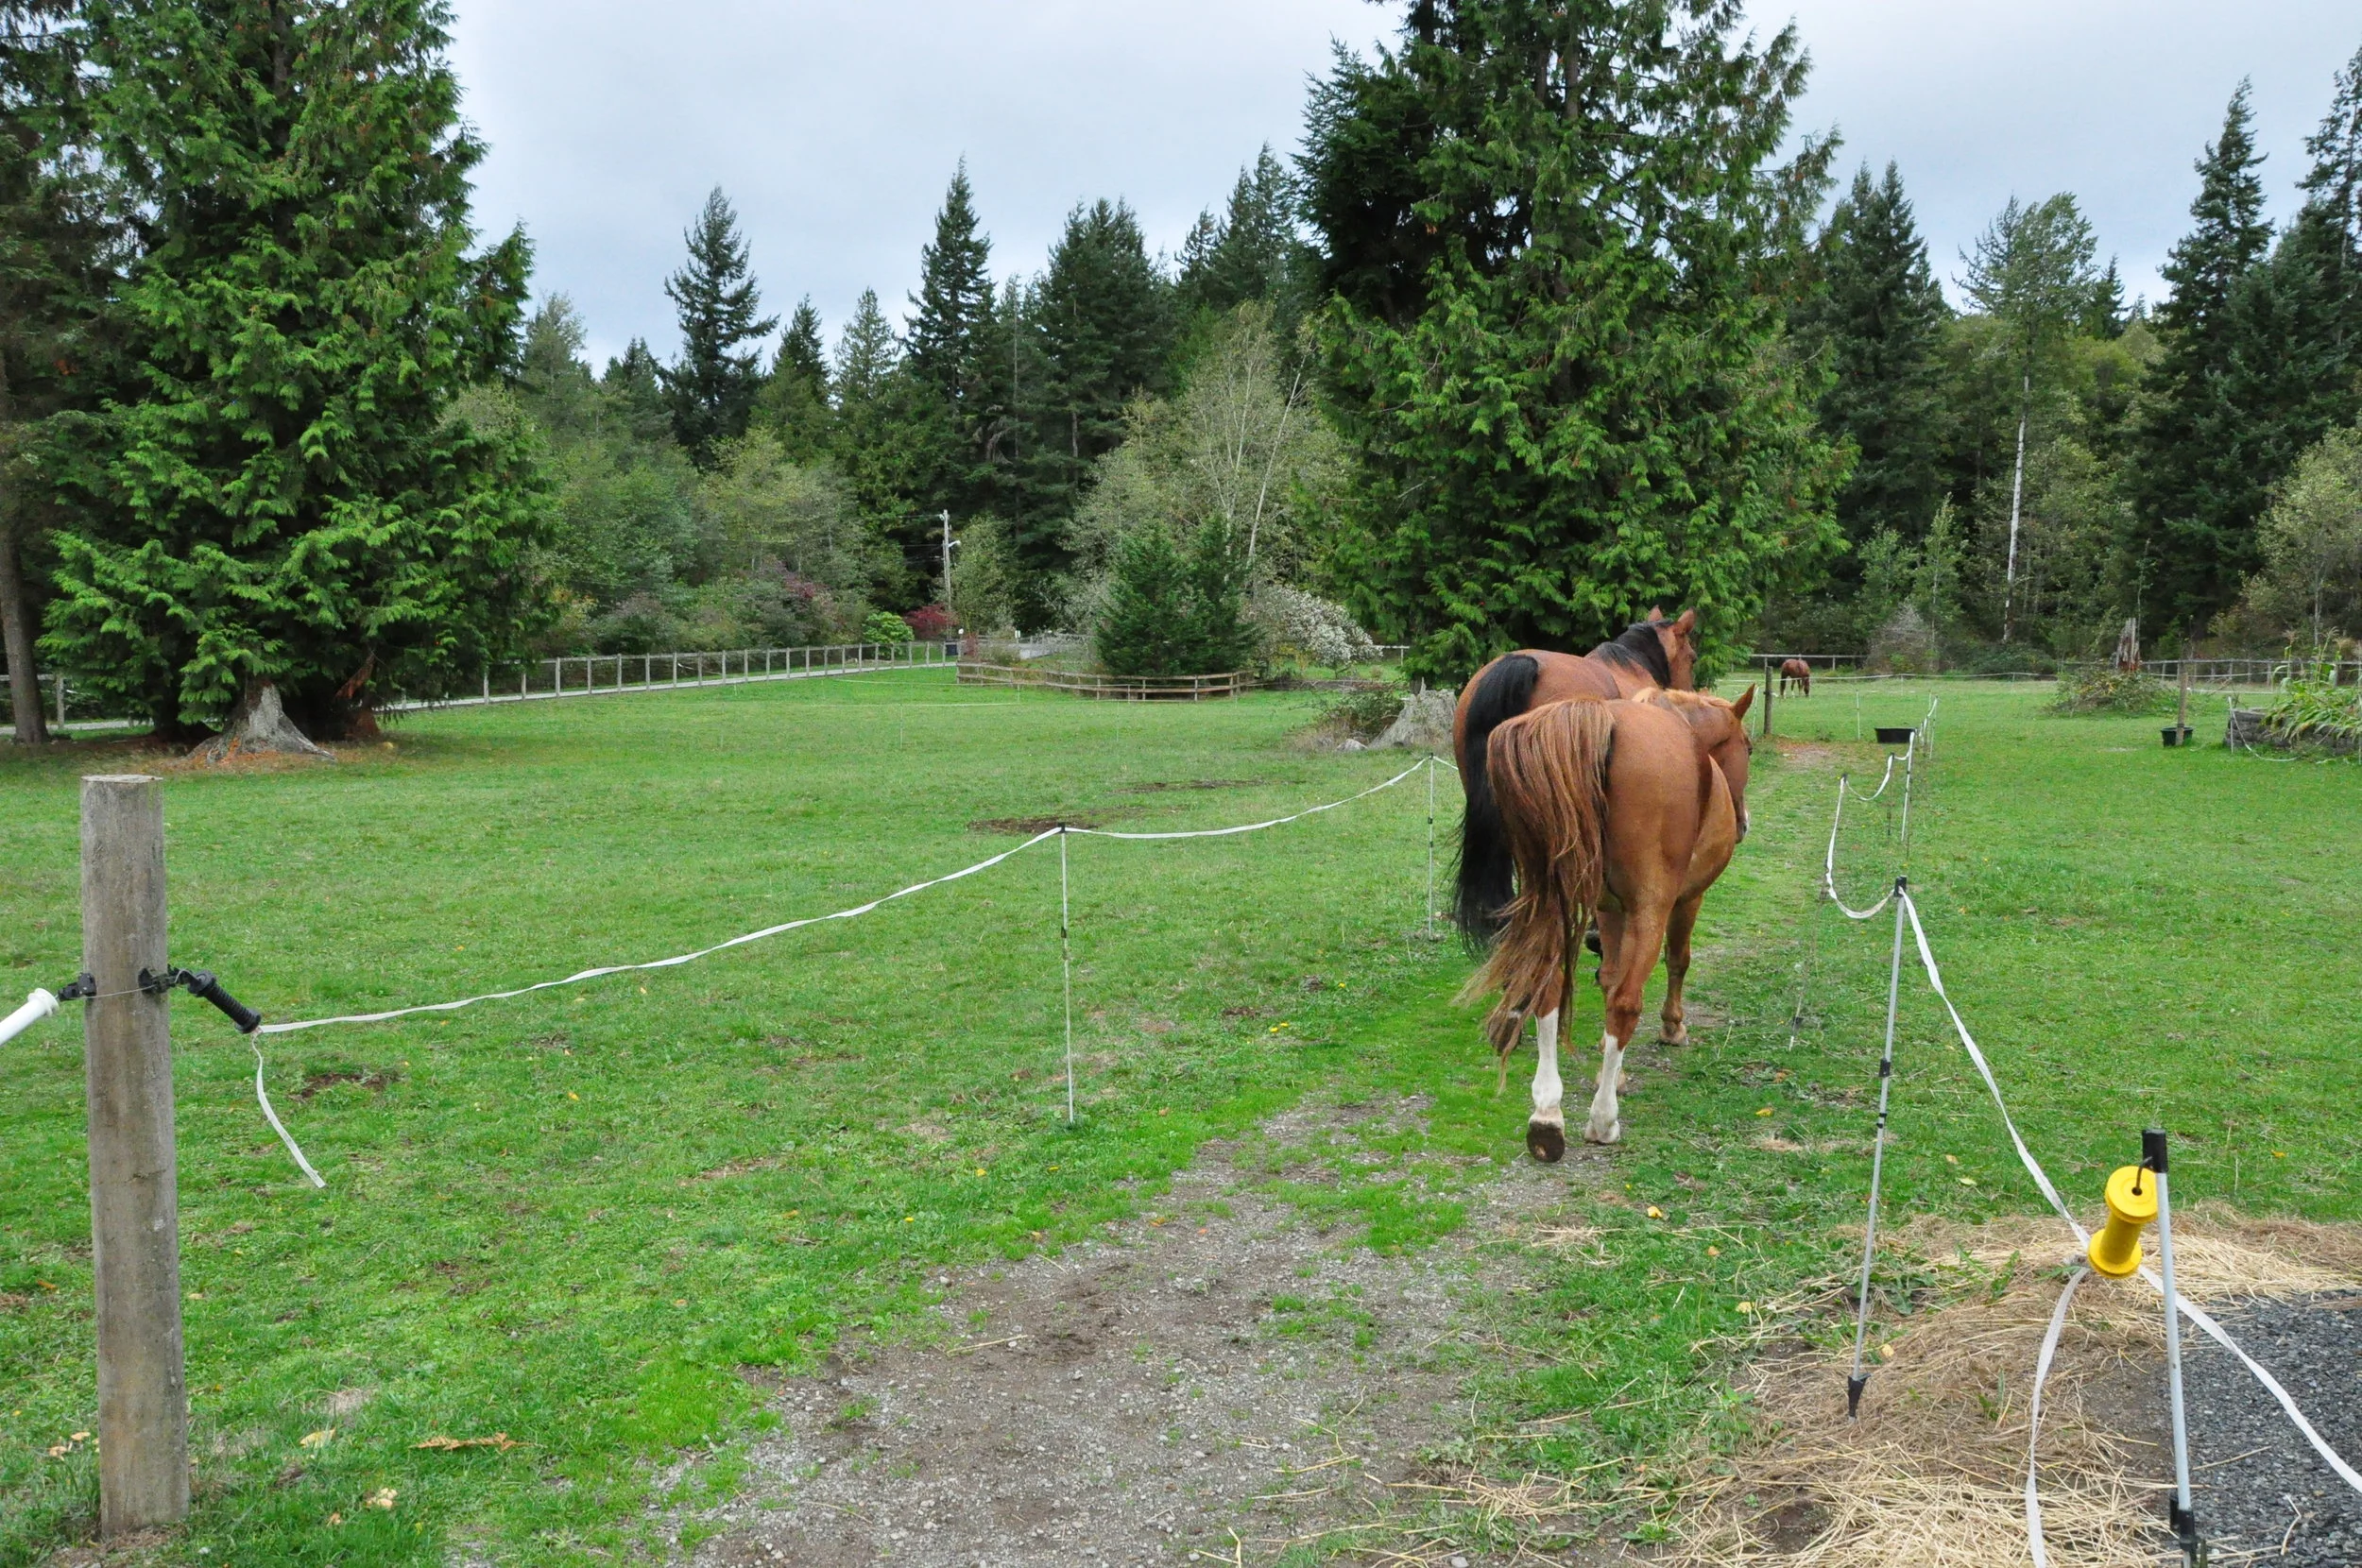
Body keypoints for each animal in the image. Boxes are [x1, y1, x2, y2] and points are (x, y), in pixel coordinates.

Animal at [1463, 686, 1754, 1160]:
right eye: (1747, 748)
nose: (1743, 822)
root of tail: (1598, 721)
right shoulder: (1683, 900)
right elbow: (1676, 961)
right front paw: (1672, 1026)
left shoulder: (1609, 910)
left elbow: (1608, 976)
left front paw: (1609, 1066)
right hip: (1650, 908)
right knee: (1626, 1003)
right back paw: (1602, 1119)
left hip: (1549, 903)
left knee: (1548, 991)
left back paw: (1547, 1115)